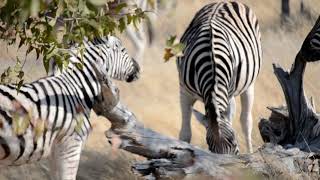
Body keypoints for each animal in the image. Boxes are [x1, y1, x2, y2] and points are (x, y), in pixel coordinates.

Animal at [178, 1, 262, 154]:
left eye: (235, 144)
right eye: (210, 148)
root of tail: (223, 2)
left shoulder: (229, 93)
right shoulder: (184, 92)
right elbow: (185, 134)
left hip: (249, 84)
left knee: (246, 122)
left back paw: (250, 153)